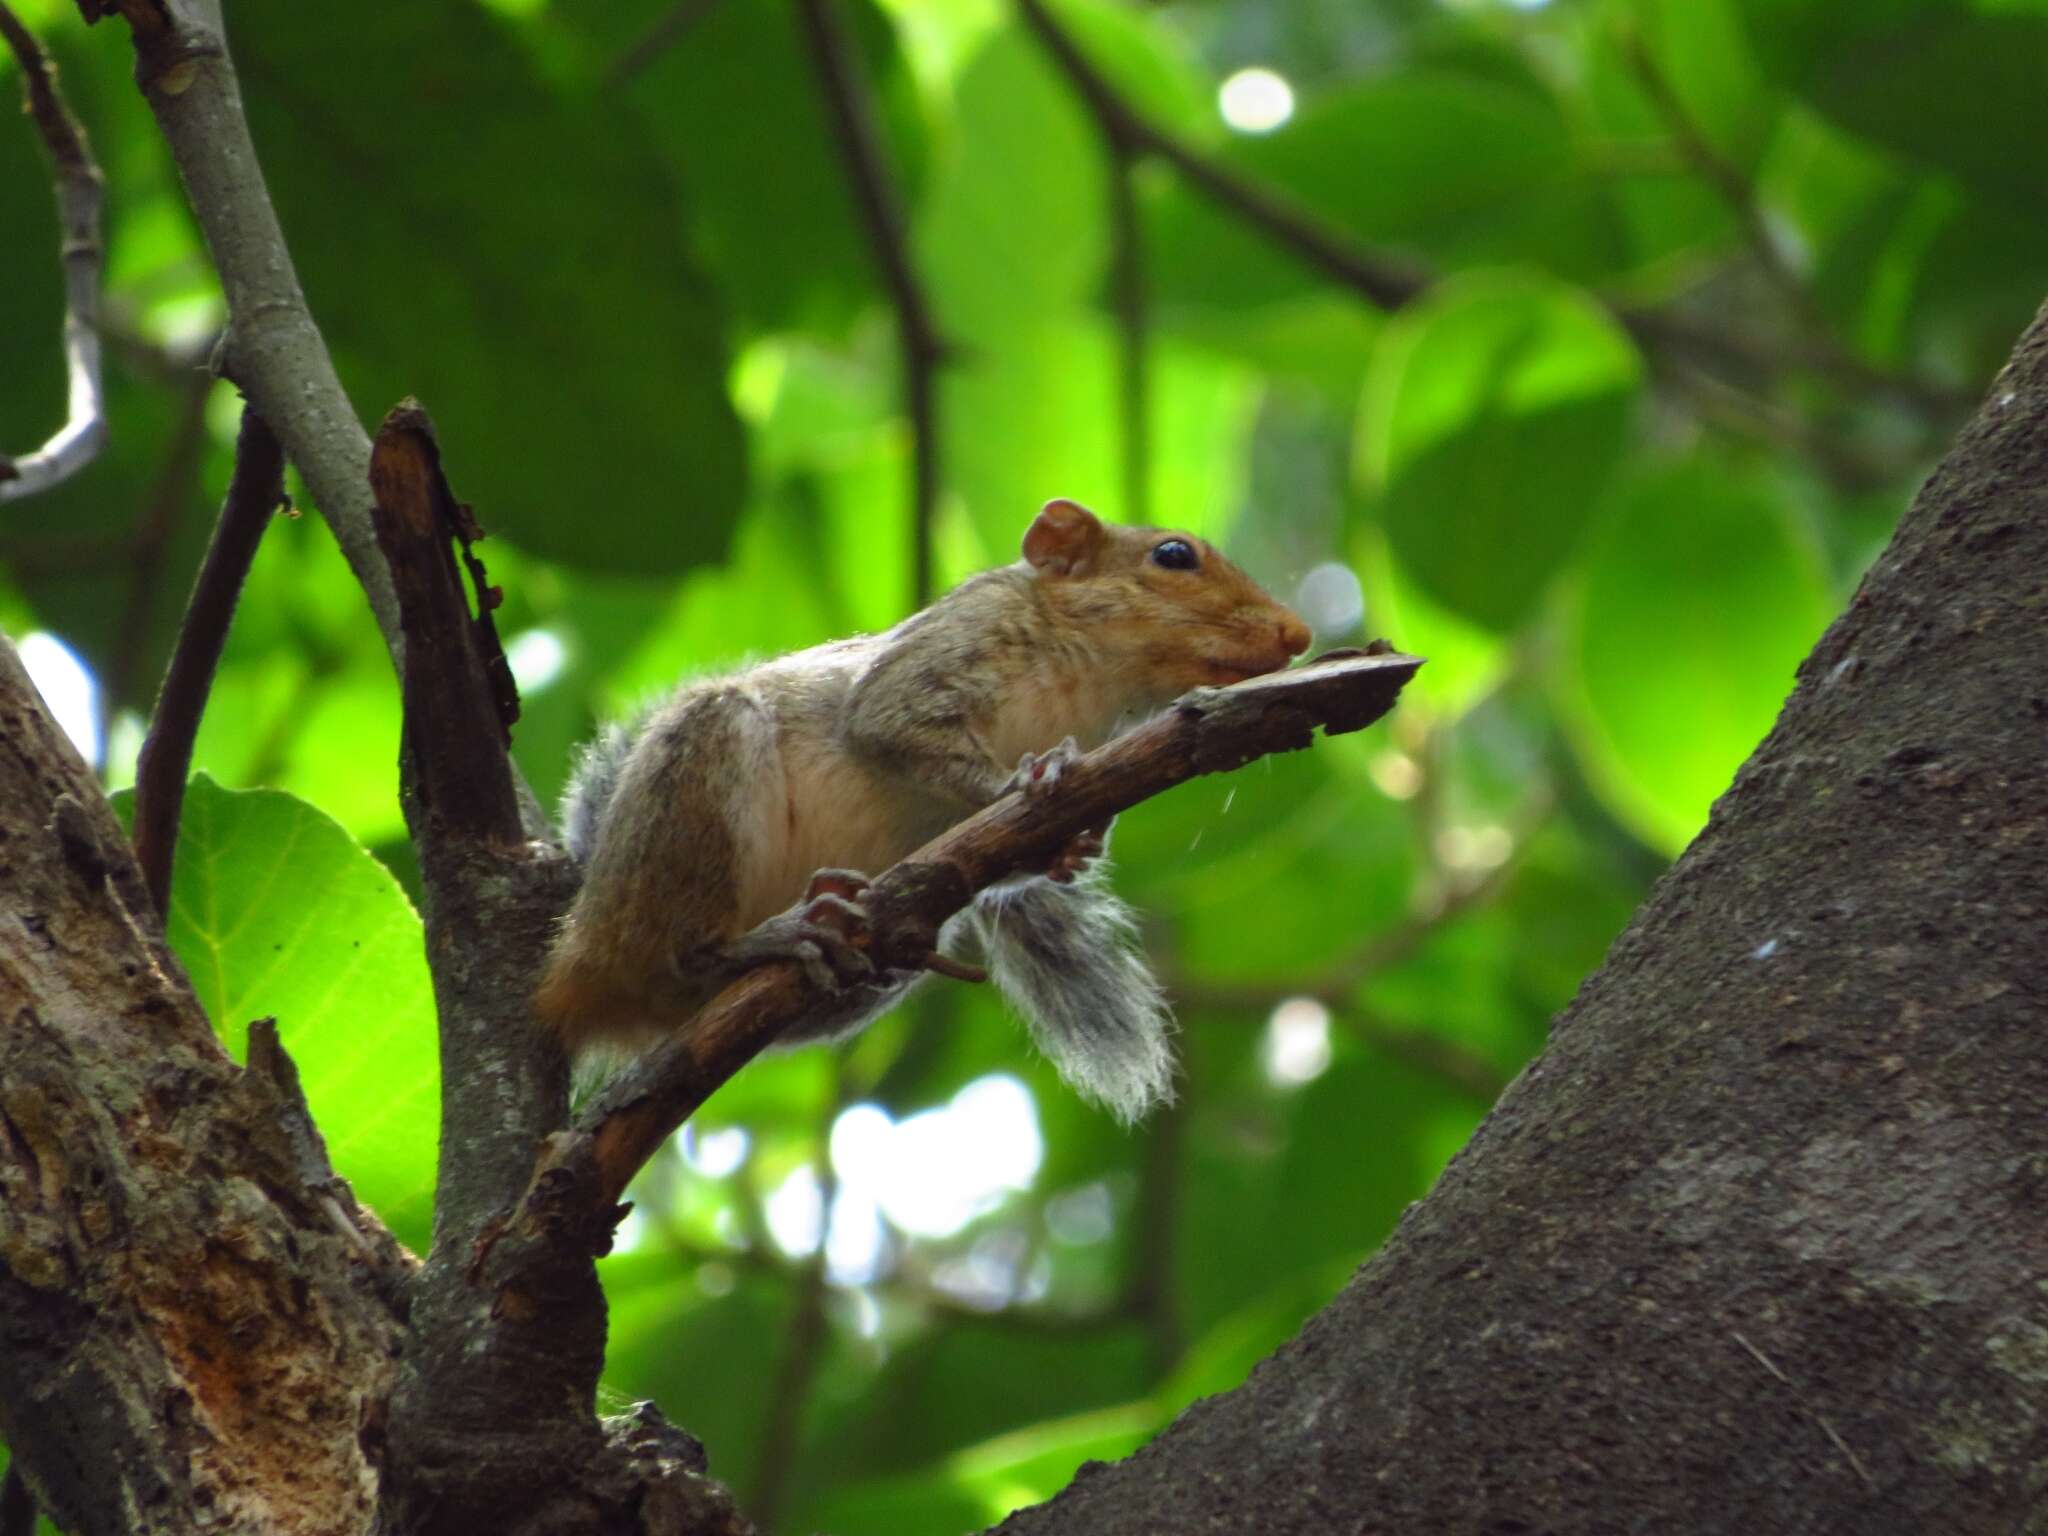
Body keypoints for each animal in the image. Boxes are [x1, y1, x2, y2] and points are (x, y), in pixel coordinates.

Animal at [536, 499, 1310, 1122]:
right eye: (1173, 555)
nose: (1298, 637)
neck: (1089, 682)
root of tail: (582, 941)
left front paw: (1071, 846)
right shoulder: (944, 651)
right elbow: (889, 722)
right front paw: (1022, 778)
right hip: (695, 788)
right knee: (675, 951)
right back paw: (772, 936)